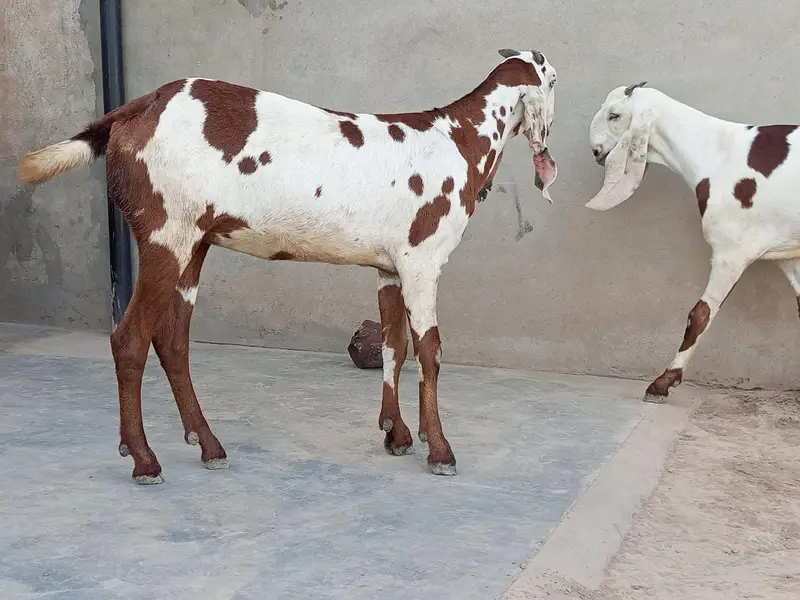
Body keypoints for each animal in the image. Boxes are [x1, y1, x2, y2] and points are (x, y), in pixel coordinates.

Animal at [19, 49, 558, 484]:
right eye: (552, 80)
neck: (457, 136)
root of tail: (141, 106)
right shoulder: (422, 262)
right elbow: (430, 351)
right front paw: (440, 450)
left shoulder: (390, 267)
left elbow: (394, 345)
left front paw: (399, 433)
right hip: (164, 238)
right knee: (130, 340)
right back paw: (145, 460)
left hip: (192, 246)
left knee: (172, 342)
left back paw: (208, 445)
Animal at [587, 82, 800, 402]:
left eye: (614, 115)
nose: (596, 150)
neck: (717, 153)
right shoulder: (788, 254)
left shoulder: (731, 252)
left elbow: (700, 314)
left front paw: (662, 382)